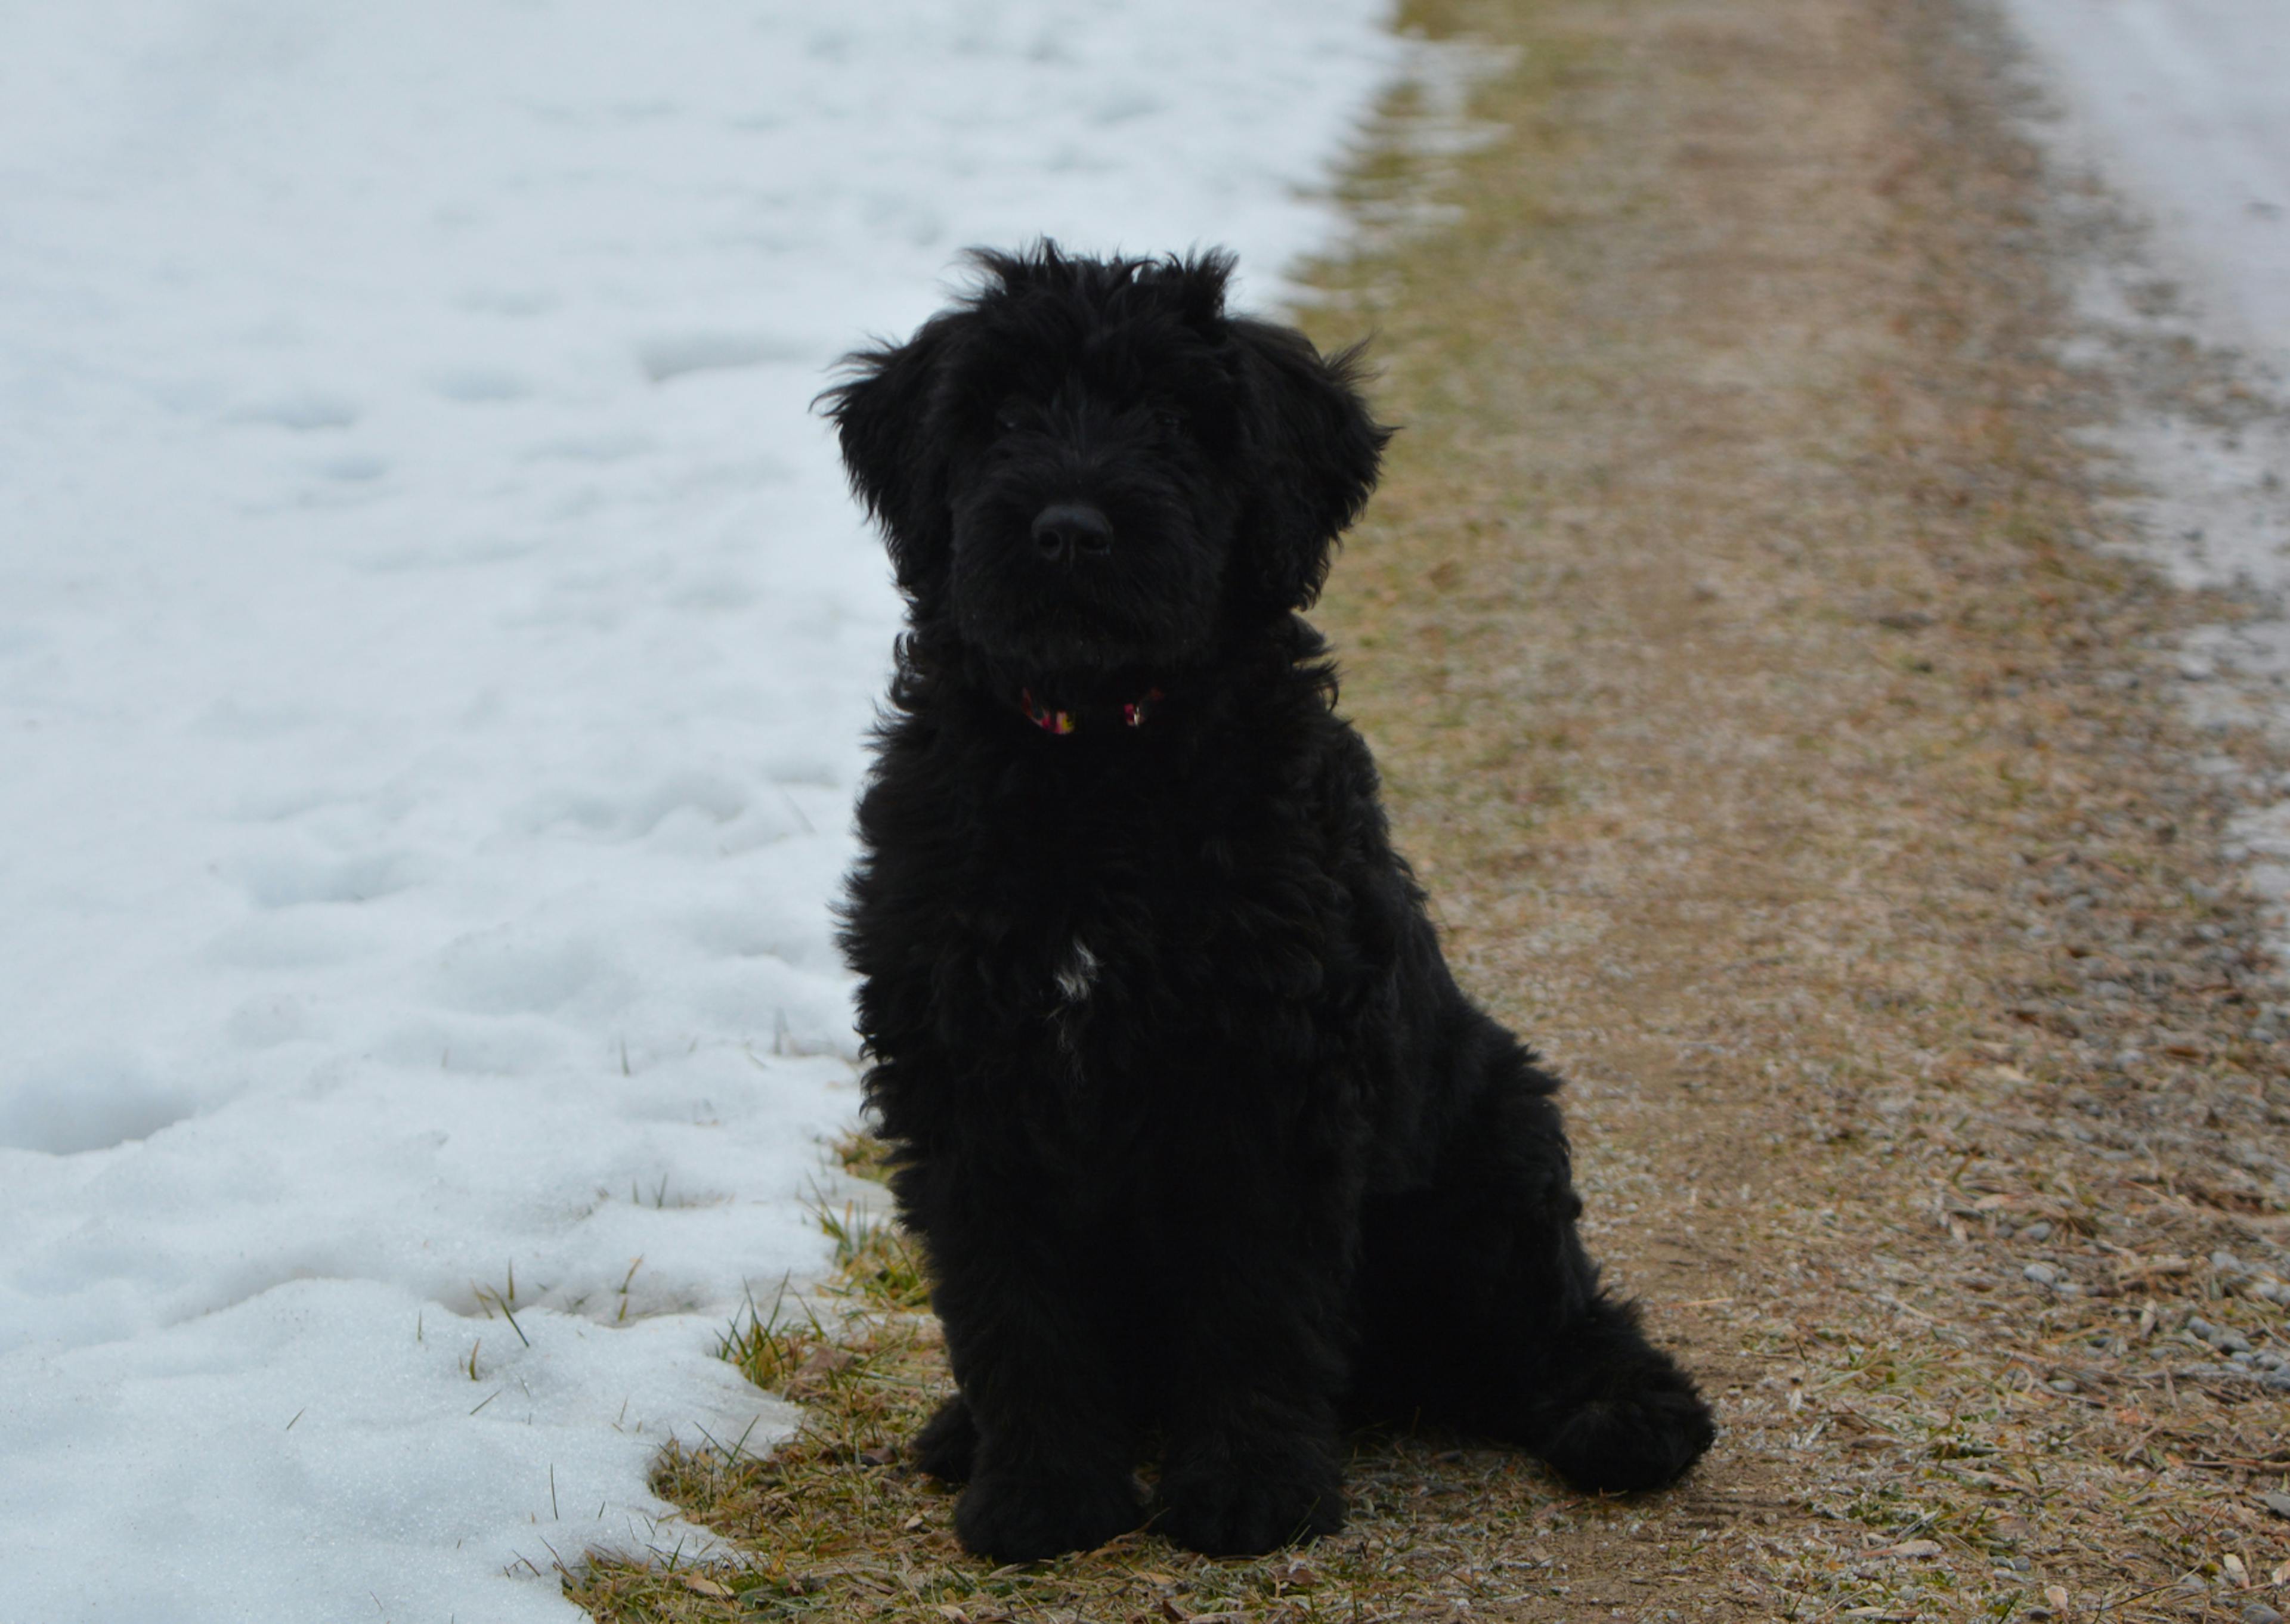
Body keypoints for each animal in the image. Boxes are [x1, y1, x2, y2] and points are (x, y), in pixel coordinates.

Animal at [833, 240, 1713, 1557]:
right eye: (1001, 414)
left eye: (1174, 421)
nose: (1070, 531)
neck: (1098, 762)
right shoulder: (968, 1073)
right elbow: (1010, 1301)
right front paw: (1041, 1498)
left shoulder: (1266, 1072)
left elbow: (1254, 1293)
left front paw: (1248, 1494)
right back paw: (962, 1435)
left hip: (1498, 1152)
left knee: (1563, 1317)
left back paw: (1633, 1417)